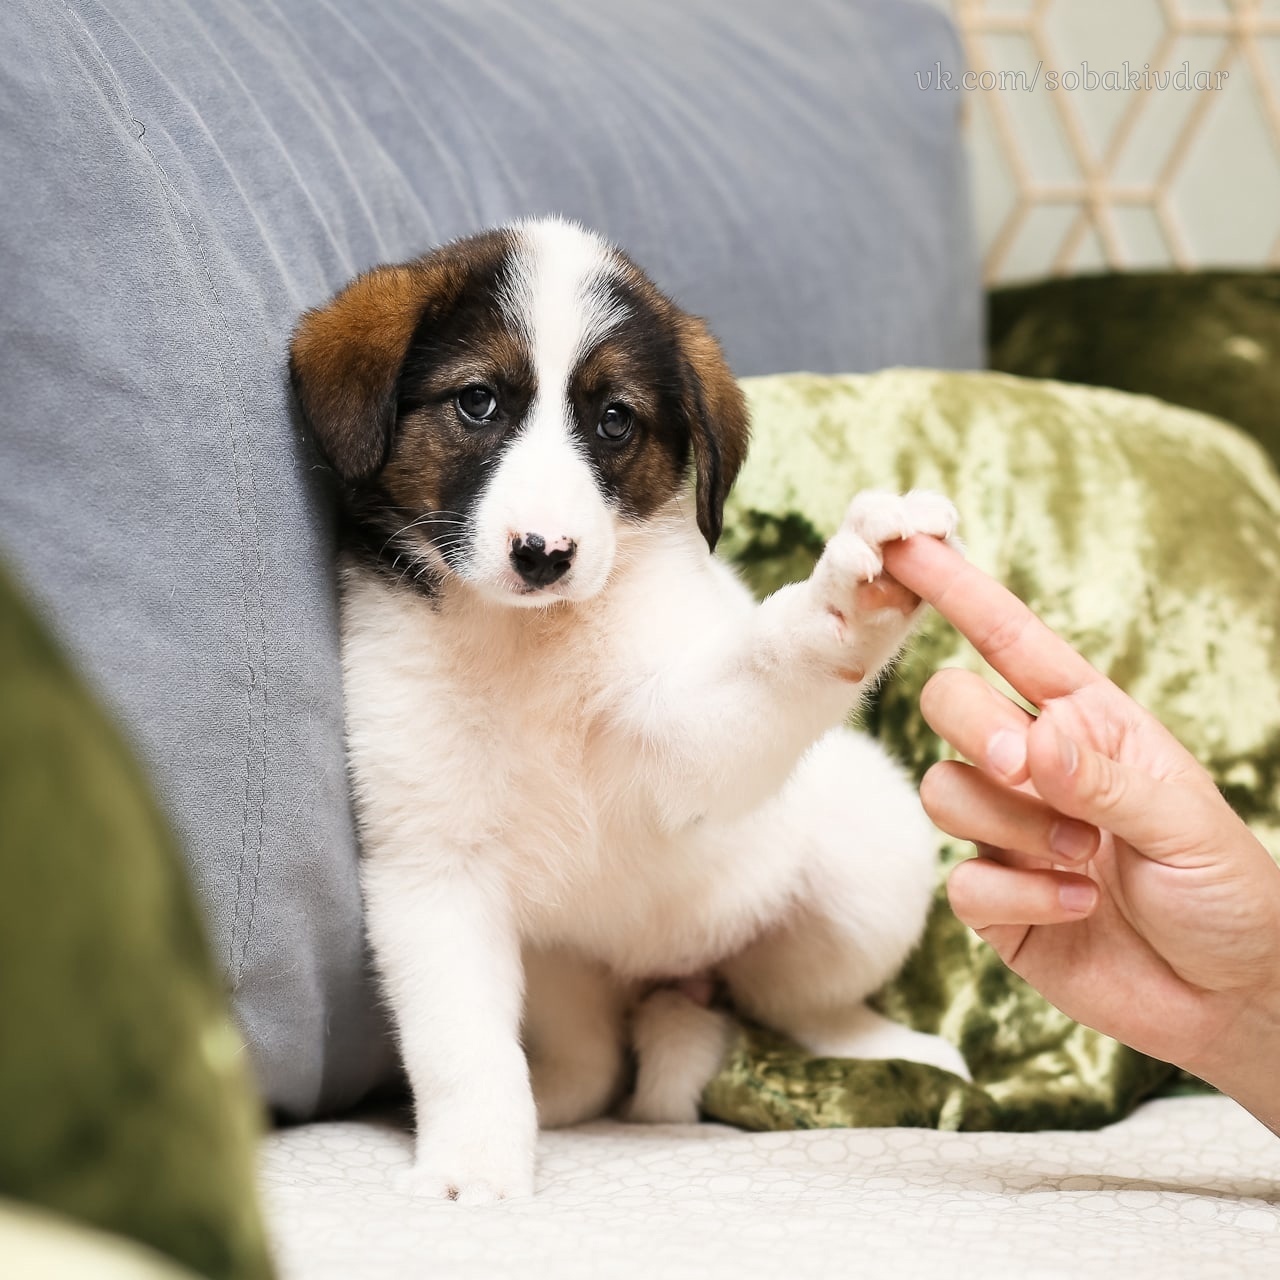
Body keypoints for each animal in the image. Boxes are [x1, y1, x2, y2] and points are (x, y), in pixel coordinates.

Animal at [290, 215, 962, 1203]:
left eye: (615, 420)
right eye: (478, 403)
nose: (544, 553)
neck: (529, 642)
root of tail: (670, 979)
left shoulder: (685, 744)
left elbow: (768, 663)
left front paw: (849, 603)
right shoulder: (432, 870)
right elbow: (465, 1049)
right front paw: (476, 1166)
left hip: (860, 855)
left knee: (812, 1006)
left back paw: (898, 1049)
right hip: (563, 970)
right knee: (599, 1058)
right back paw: (567, 1092)